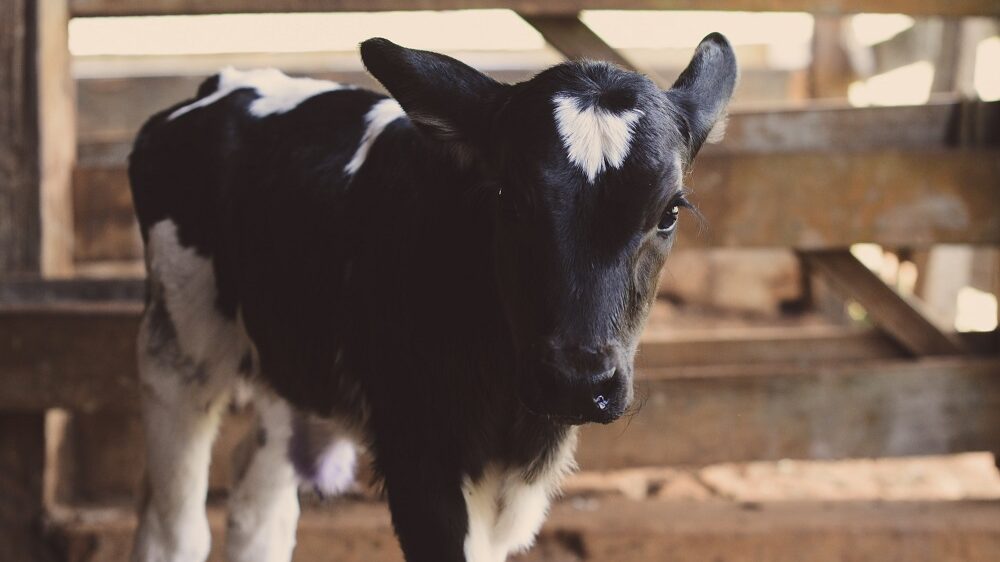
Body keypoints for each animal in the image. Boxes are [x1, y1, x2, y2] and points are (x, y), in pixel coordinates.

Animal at [127, 34, 736, 560]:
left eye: (669, 212)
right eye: (509, 198)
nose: (577, 381)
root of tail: (228, 81)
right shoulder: (417, 454)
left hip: (291, 362)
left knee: (260, 508)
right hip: (177, 348)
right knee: (173, 527)